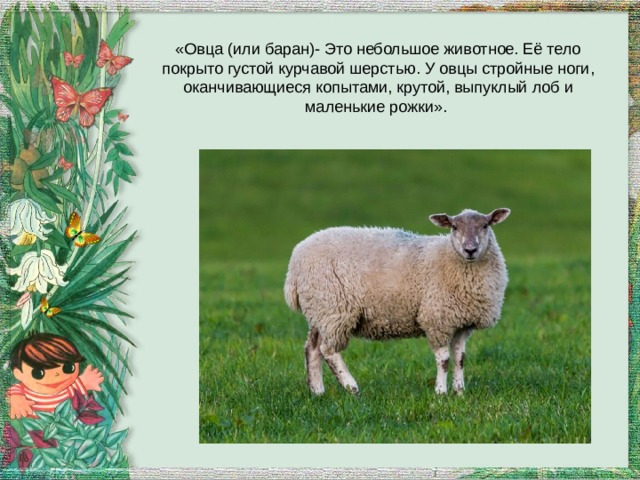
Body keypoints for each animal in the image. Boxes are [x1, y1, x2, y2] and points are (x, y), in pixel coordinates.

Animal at [284, 208, 510, 396]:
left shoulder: (462, 323)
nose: (470, 249)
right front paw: (441, 392)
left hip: (319, 310)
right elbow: (444, 360)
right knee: (329, 351)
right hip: (334, 309)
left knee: (312, 348)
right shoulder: (436, 319)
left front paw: (459, 392)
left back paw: (317, 391)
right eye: (454, 227)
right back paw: (352, 387)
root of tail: (295, 260)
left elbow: (460, 359)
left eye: (485, 225)